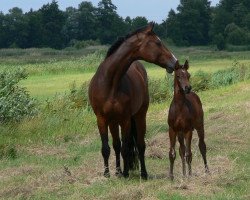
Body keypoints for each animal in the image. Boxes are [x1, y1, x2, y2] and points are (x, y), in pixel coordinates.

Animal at [88, 22, 178, 180]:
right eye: (158, 43)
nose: (174, 62)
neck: (110, 83)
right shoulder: (102, 119)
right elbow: (106, 148)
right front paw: (107, 174)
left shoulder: (125, 119)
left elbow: (126, 147)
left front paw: (125, 173)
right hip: (114, 121)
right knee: (117, 145)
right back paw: (117, 171)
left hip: (139, 116)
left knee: (140, 145)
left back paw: (143, 173)